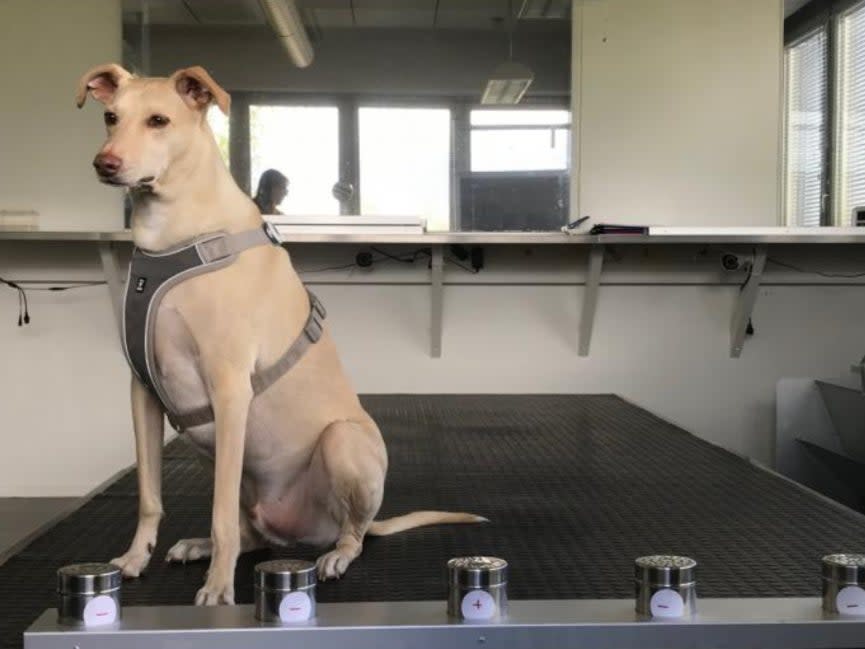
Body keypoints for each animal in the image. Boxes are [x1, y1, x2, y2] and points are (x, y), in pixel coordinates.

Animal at [77, 63, 482, 604]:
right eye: (110, 117)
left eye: (159, 120)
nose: (106, 163)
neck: (174, 240)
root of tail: (300, 531)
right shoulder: (142, 392)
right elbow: (149, 496)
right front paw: (135, 559)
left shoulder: (230, 391)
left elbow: (221, 514)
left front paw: (218, 590)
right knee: (250, 533)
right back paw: (200, 546)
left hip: (340, 442)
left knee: (350, 533)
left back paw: (334, 554)